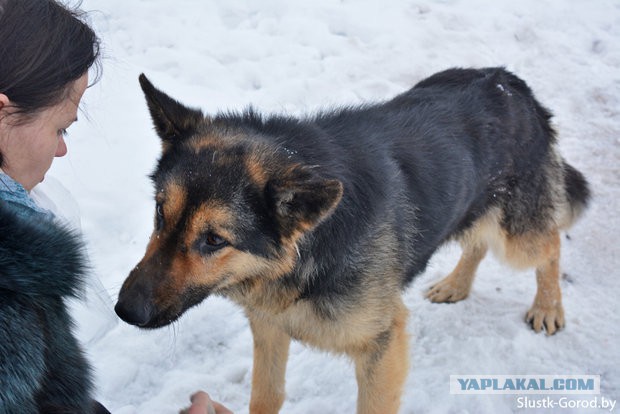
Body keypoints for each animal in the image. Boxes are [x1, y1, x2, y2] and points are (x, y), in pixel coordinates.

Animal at [114, 66, 588, 412]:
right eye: (160, 213)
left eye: (213, 240)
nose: (125, 311)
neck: (304, 256)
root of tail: (510, 81)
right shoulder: (270, 328)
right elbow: (266, 395)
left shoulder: (383, 346)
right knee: (478, 239)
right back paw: (457, 284)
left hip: (517, 236)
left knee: (549, 243)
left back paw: (548, 306)